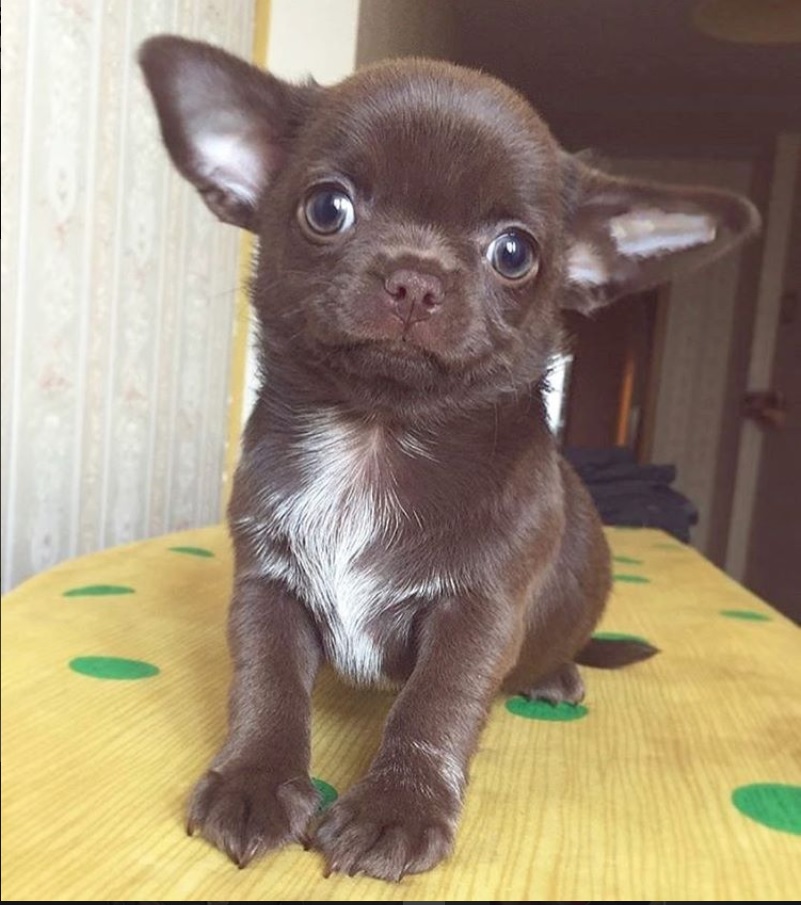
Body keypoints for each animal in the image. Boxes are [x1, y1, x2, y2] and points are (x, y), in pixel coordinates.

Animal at [139, 38, 764, 880]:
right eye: (326, 209)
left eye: (514, 253)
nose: (416, 276)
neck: (374, 433)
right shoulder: (267, 587)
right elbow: (266, 686)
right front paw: (254, 781)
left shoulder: (478, 614)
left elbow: (433, 705)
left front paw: (395, 809)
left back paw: (556, 673)